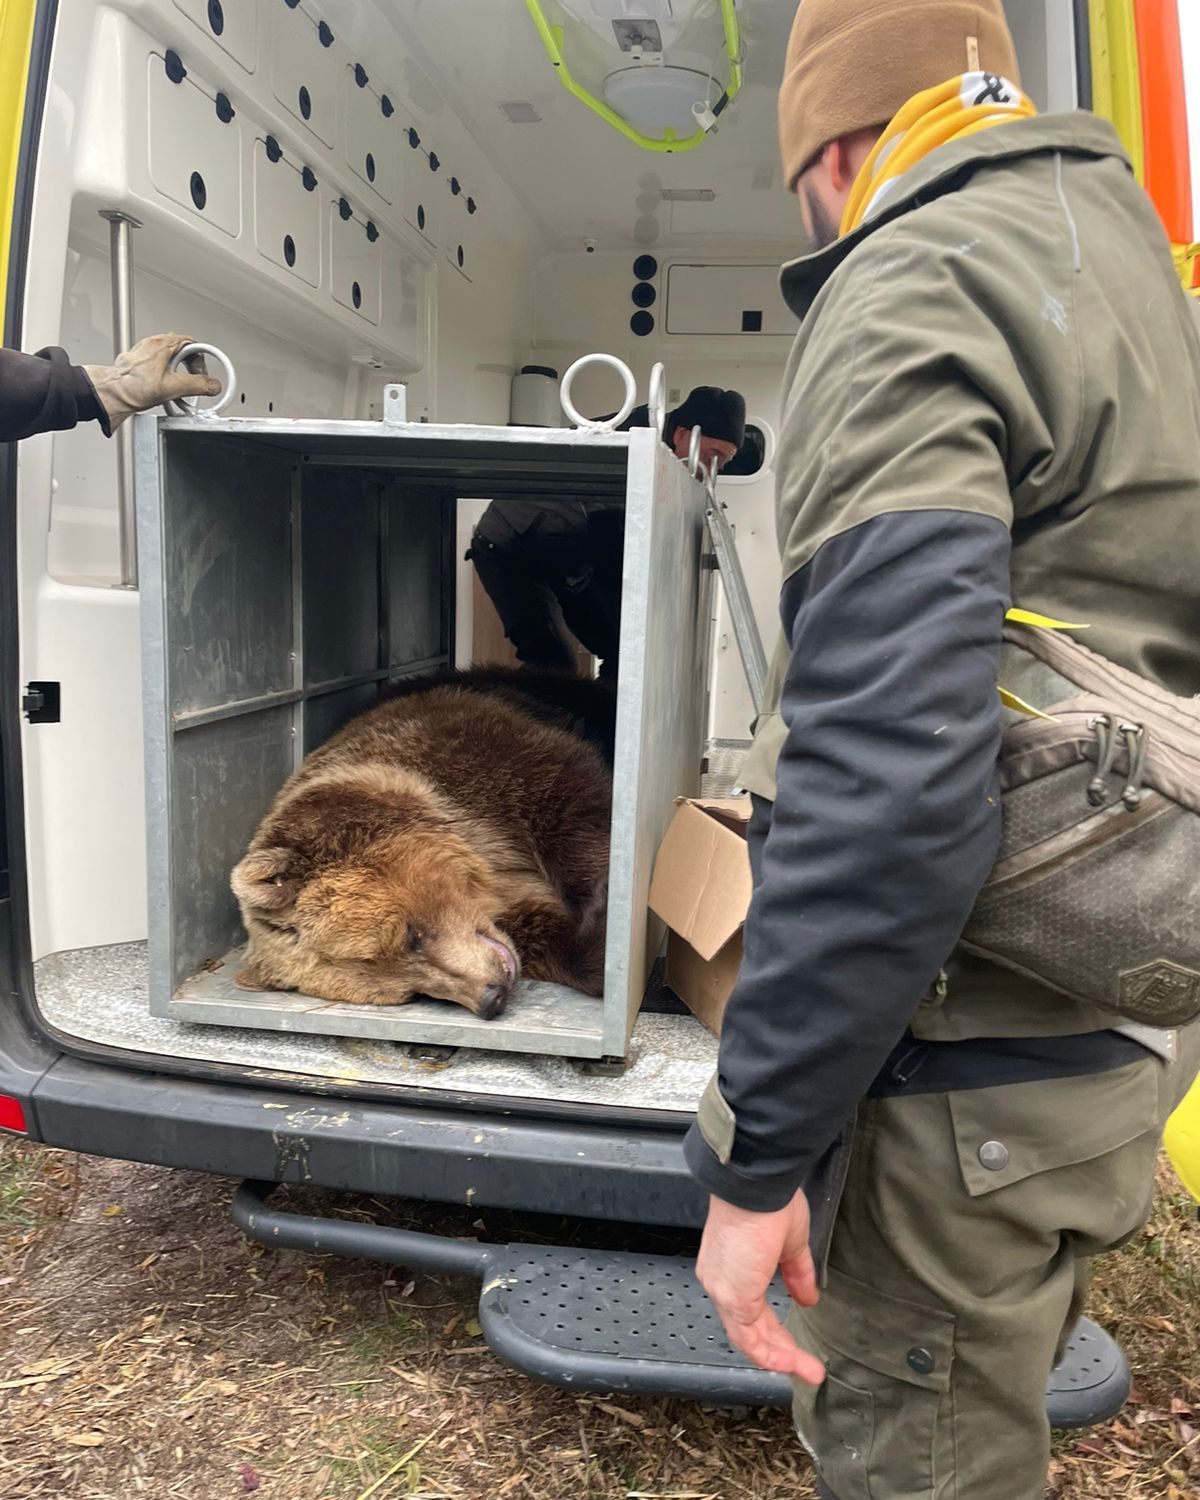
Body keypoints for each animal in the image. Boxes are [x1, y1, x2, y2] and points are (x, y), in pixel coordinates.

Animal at [231, 669, 615, 1020]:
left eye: (410, 937)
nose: (491, 998)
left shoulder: (487, 762)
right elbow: (548, 937)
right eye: (410, 994)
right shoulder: (514, 914)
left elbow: (577, 811)